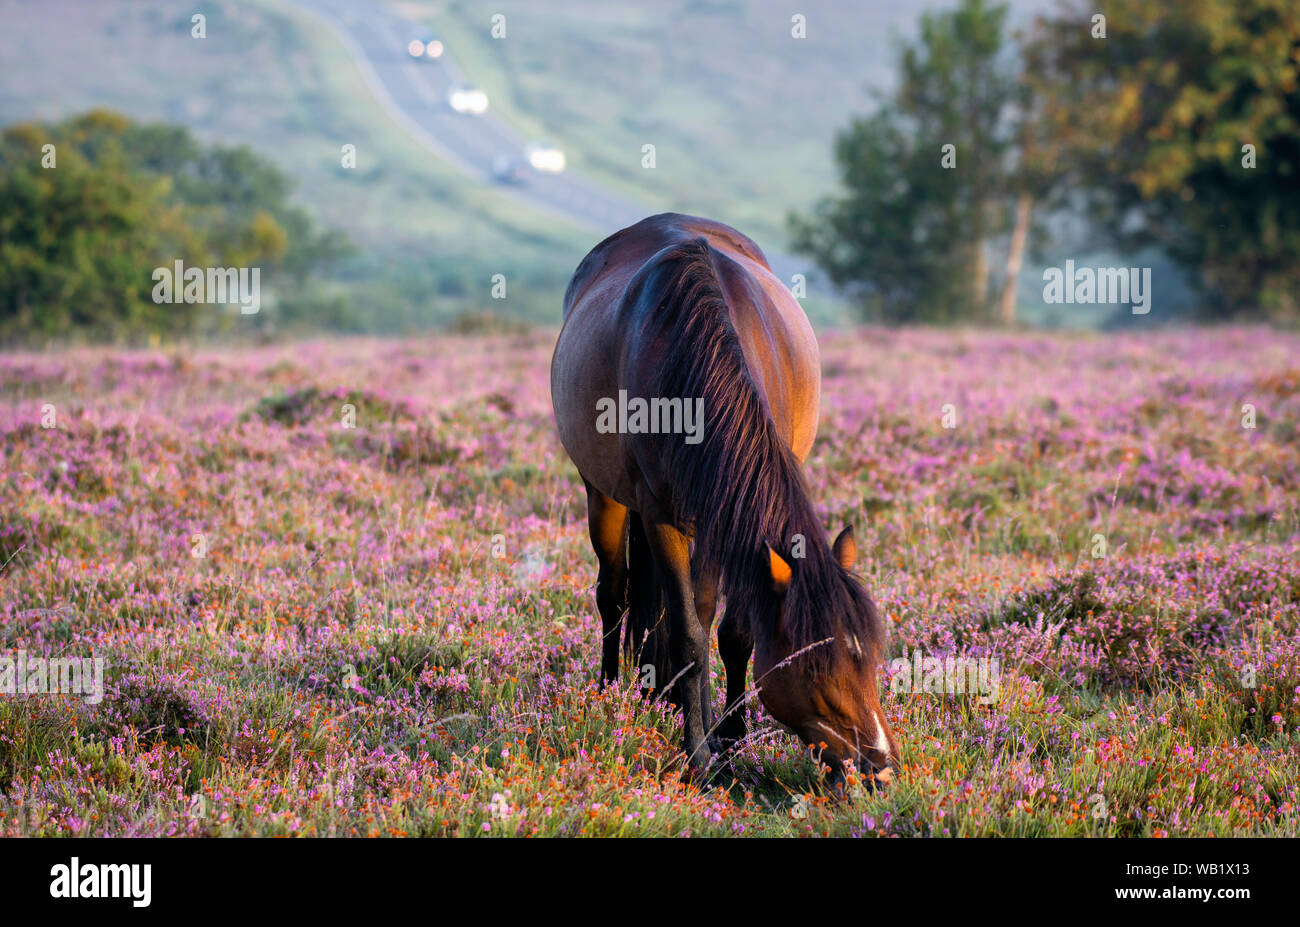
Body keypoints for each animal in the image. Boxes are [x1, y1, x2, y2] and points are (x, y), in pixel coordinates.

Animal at [548, 214, 894, 780]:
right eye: (813, 669)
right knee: (614, 593)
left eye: (870, 661)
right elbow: (688, 634)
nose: (880, 766)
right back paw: (610, 695)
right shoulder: (661, 513)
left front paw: (728, 737)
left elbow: (726, 628)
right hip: (602, 493)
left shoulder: (719, 512)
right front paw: (697, 755)